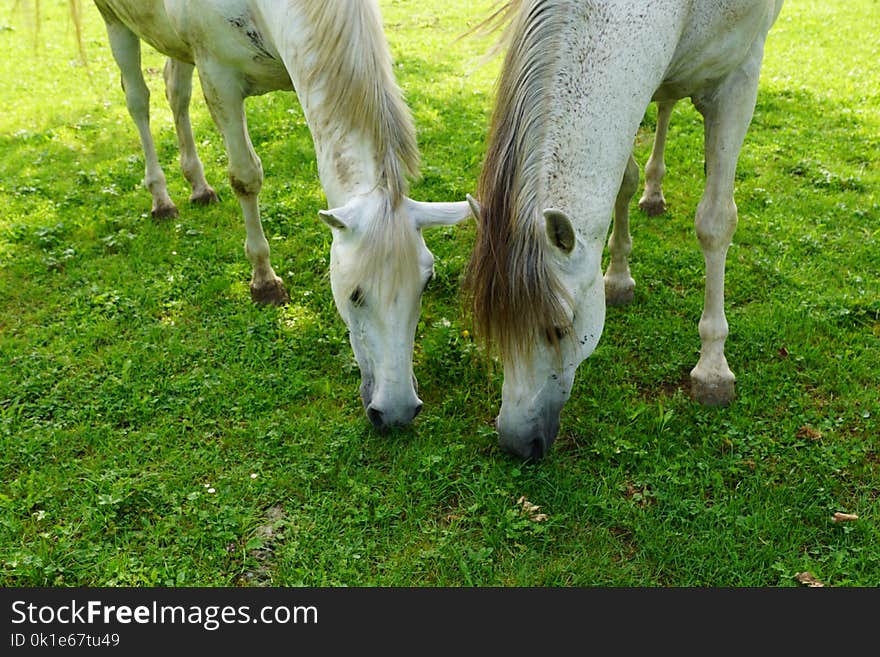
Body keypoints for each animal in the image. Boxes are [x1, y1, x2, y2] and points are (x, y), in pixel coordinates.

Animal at [63, 1, 474, 430]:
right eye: (354, 295)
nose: (396, 412)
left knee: (175, 90)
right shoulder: (220, 82)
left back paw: (198, 186)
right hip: (115, 23)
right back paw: (161, 198)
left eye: (425, 285)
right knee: (138, 99)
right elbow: (246, 178)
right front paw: (264, 281)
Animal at [464, 0, 788, 458]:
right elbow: (624, 182)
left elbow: (715, 223)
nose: (517, 443)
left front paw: (713, 369)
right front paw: (617, 279)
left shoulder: (739, 80)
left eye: (559, 328)